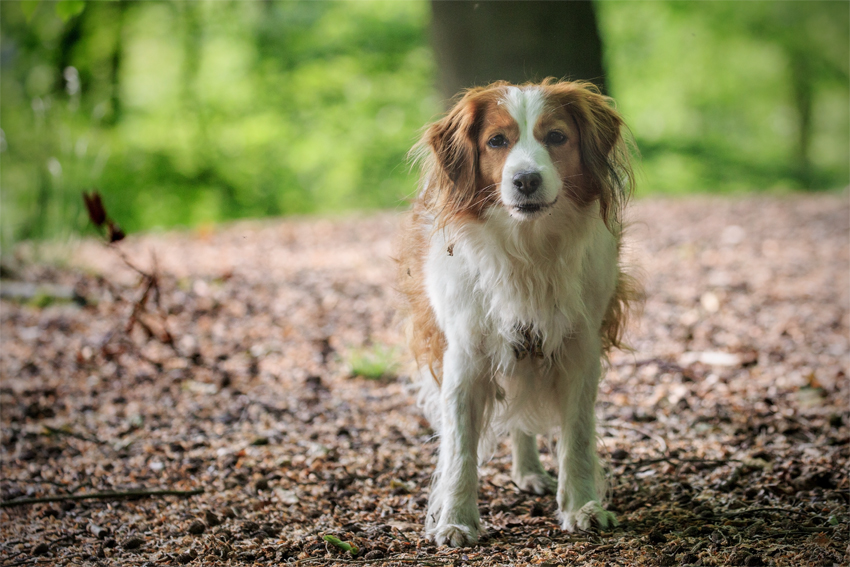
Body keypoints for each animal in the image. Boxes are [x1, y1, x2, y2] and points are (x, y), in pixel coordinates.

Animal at [398, 79, 636, 544]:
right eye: (496, 141)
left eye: (557, 137)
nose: (526, 180)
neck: (527, 250)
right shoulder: (465, 357)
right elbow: (460, 449)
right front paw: (456, 519)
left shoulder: (579, 351)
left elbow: (577, 438)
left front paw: (583, 506)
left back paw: (529, 471)